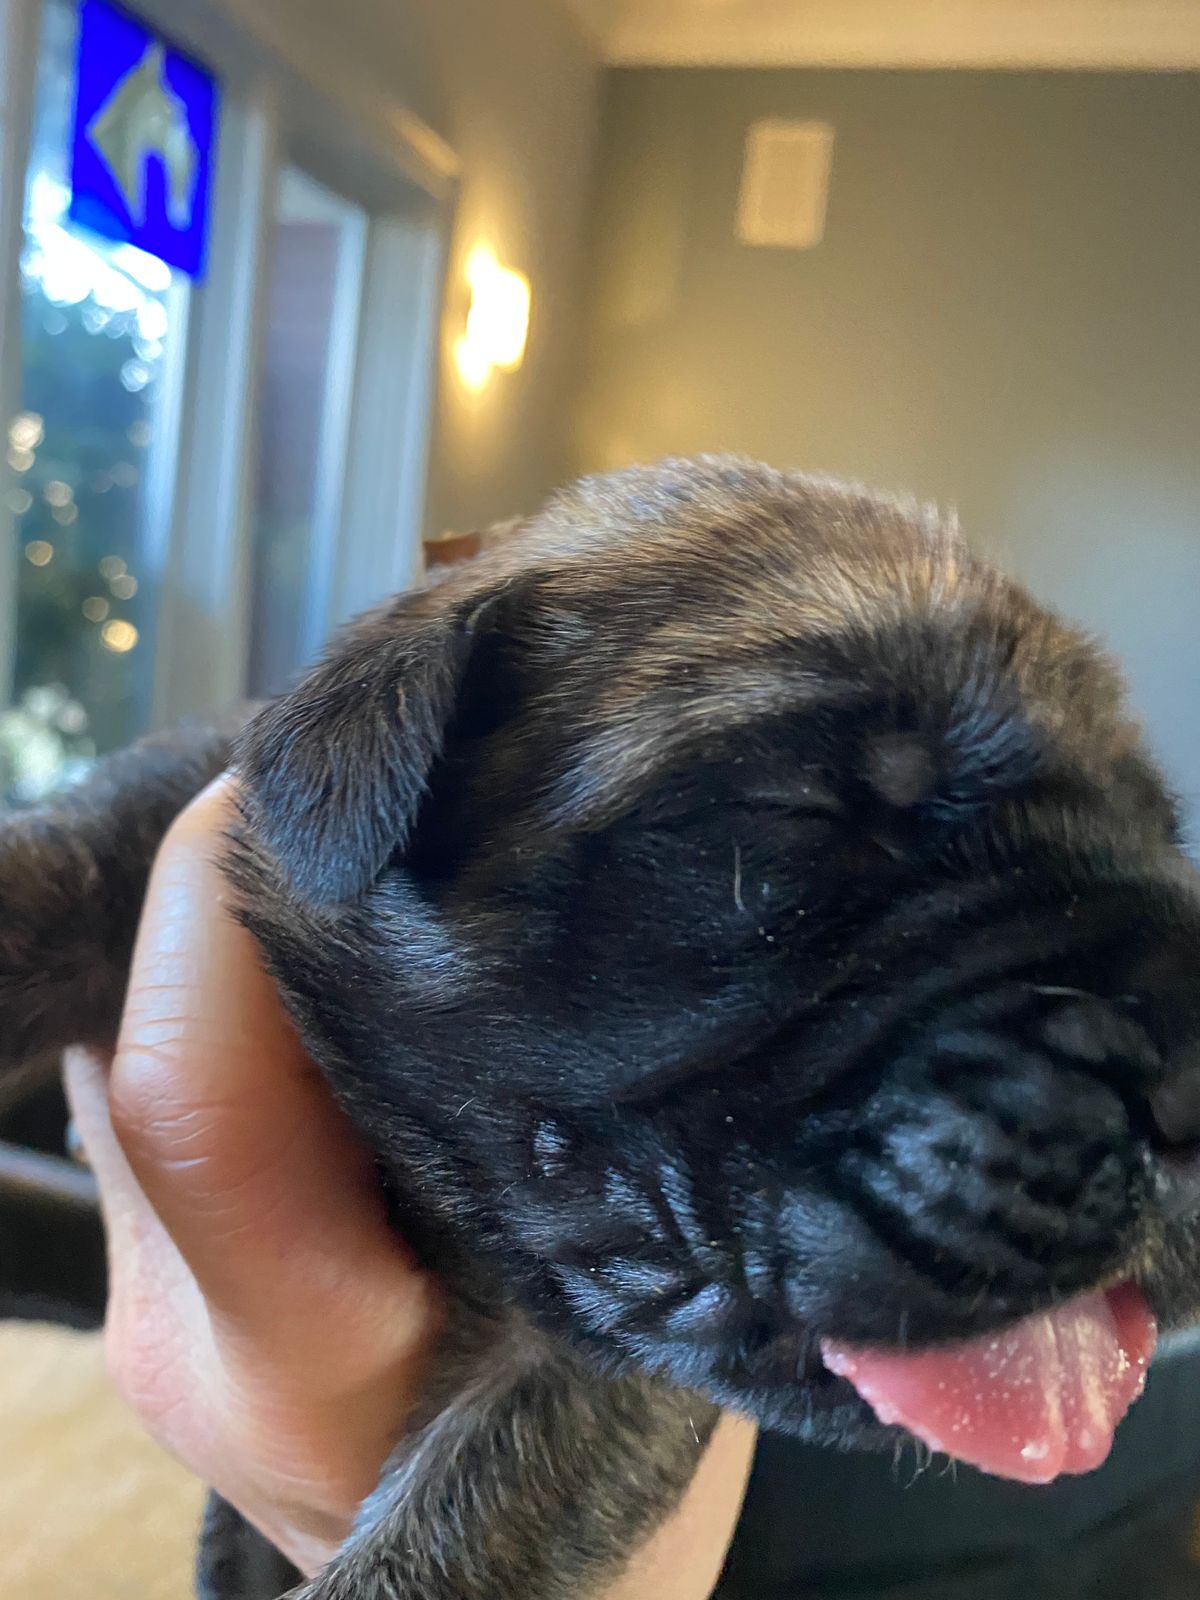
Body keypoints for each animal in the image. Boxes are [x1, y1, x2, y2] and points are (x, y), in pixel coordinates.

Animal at [2, 456, 1199, 1600]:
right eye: (801, 808)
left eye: (1165, 847)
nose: (1192, 1085)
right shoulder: (173, 809)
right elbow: (53, 873)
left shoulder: (591, 1391)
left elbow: (453, 1540)